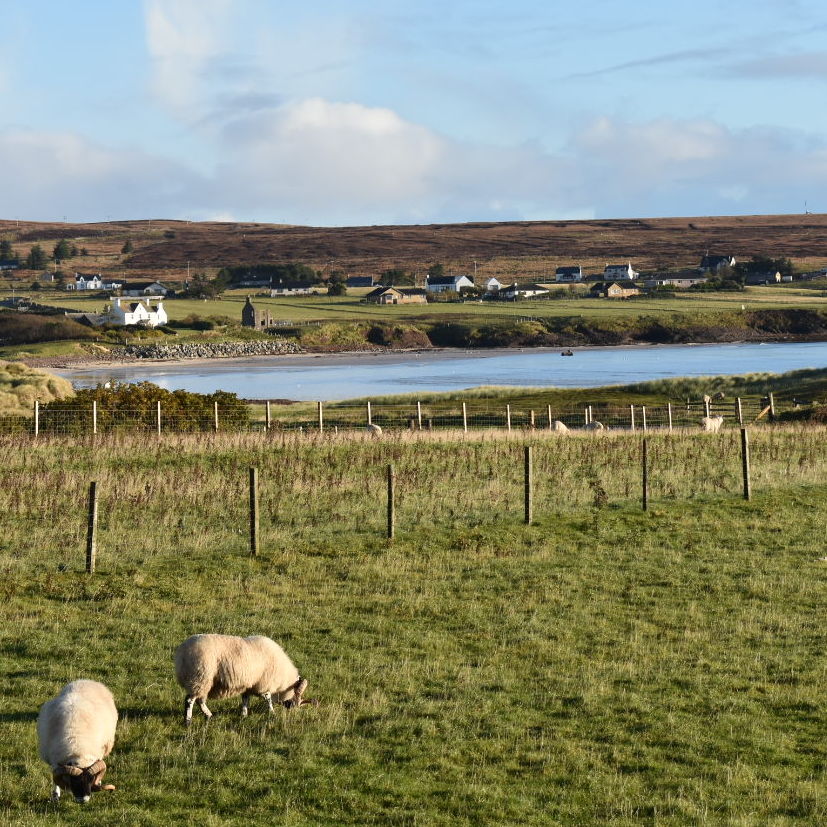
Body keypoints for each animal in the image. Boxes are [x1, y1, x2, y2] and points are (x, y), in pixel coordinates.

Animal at [173, 632, 312, 724]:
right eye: (296, 700)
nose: (292, 711)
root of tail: (181, 654)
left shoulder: (248, 685)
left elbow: (245, 700)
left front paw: (244, 715)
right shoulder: (263, 684)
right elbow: (267, 698)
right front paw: (272, 712)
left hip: (202, 681)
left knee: (200, 700)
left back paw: (209, 716)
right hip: (199, 678)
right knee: (190, 700)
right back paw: (188, 721)